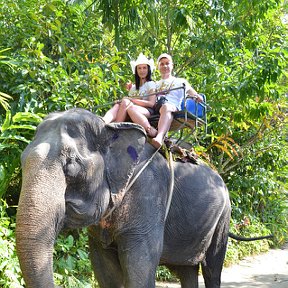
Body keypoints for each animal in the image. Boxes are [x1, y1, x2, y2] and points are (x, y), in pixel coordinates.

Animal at [14, 108, 268, 288]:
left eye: (72, 164)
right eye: (22, 161)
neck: (111, 129)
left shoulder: (149, 193)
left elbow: (140, 266)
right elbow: (105, 271)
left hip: (223, 218)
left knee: (212, 268)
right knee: (187, 271)